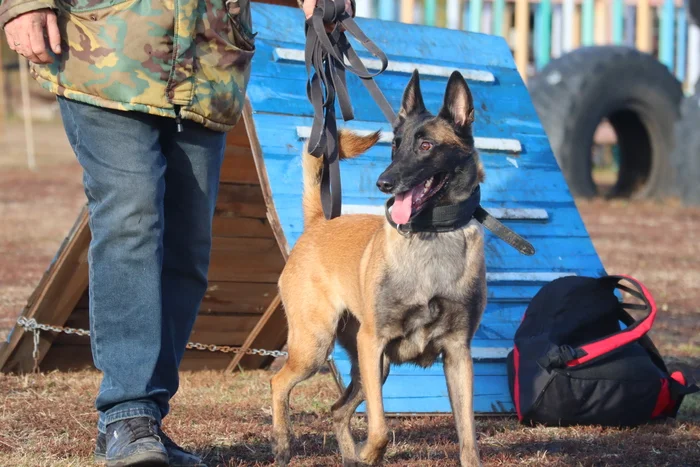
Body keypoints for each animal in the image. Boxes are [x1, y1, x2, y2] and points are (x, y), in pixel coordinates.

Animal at [272, 70, 486, 467]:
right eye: (395, 146)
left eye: (426, 146)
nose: (384, 183)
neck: (431, 237)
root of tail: (319, 224)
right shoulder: (373, 342)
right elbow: (381, 428)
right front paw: (369, 453)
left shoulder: (458, 353)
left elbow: (467, 437)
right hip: (317, 347)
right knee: (279, 383)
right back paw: (281, 444)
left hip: (369, 364)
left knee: (337, 410)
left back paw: (346, 456)